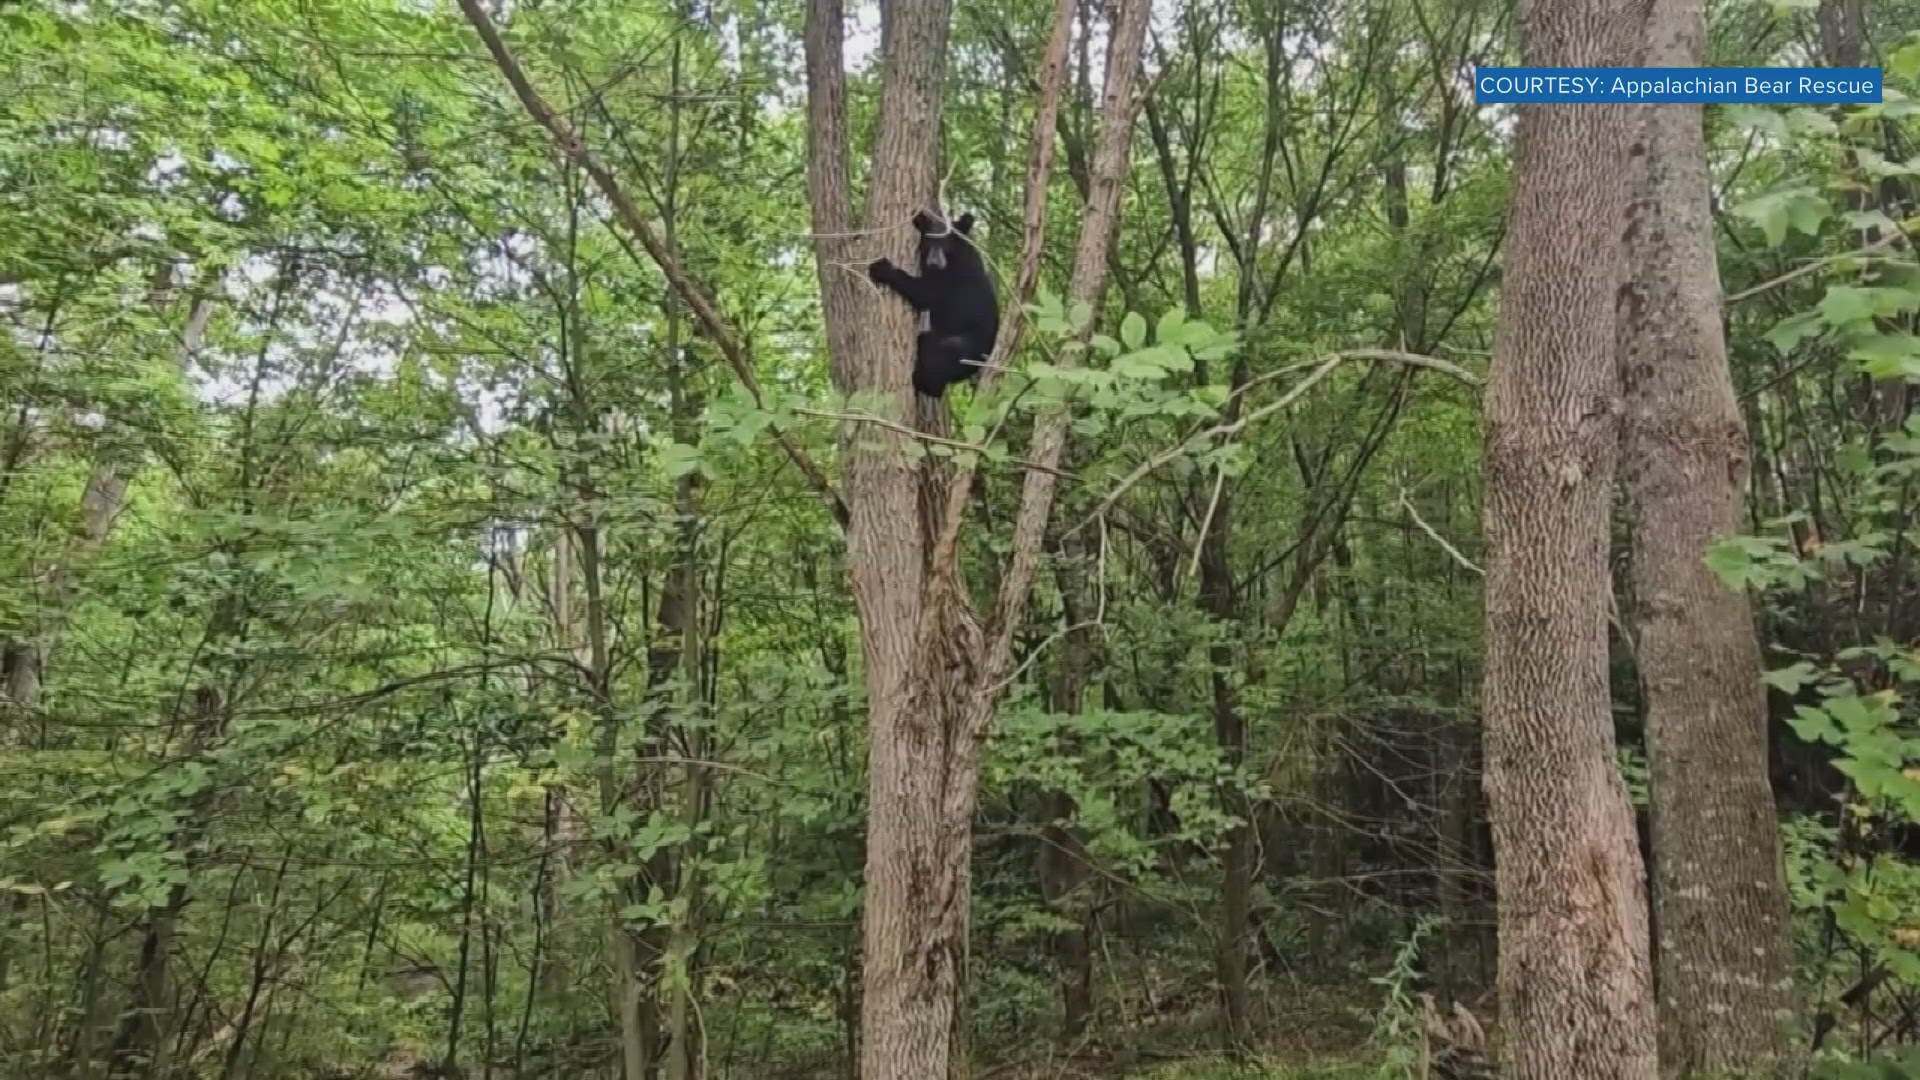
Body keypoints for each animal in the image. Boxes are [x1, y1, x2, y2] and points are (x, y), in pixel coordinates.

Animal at [864, 208, 998, 397]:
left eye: (946, 245)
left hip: (962, 348)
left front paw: (882, 269)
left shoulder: (953, 277)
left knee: (937, 356)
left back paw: (922, 381)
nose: (934, 261)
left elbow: (925, 294)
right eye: (928, 243)